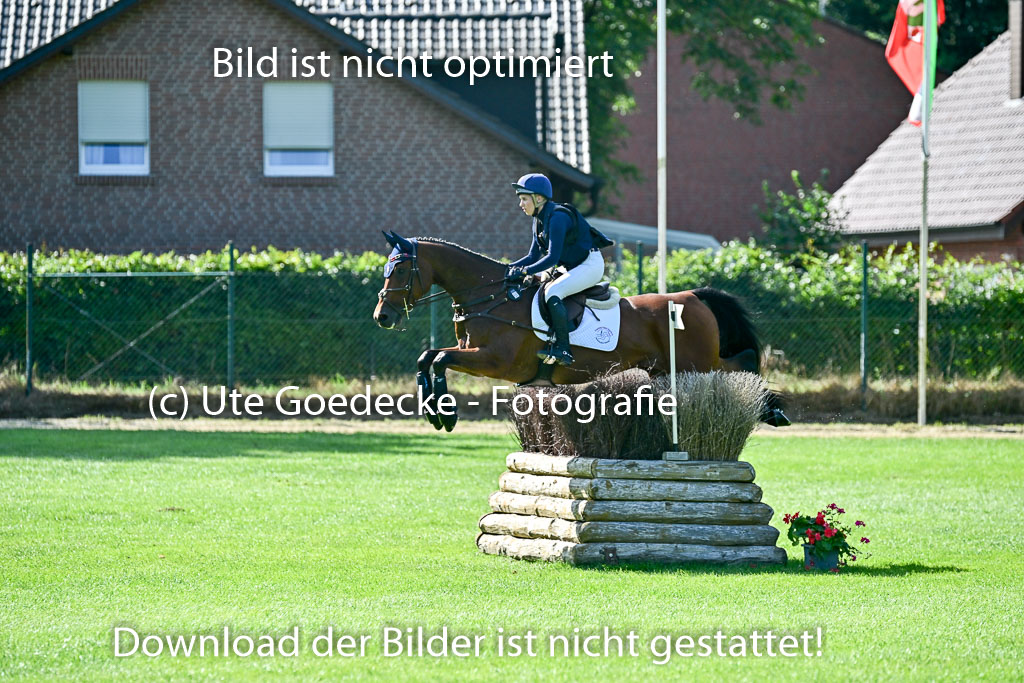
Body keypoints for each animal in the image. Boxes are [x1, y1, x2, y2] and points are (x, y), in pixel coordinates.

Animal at [372, 231, 788, 431]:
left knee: (742, 361)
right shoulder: (475, 354)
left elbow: (440, 359)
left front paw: (445, 414)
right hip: (669, 368)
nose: (382, 316)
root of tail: (692, 297)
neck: (491, 296)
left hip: (695, 363)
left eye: (399, 270)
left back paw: (773, 409)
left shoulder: (496, 362)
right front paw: (433, 410)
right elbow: (427, 357)